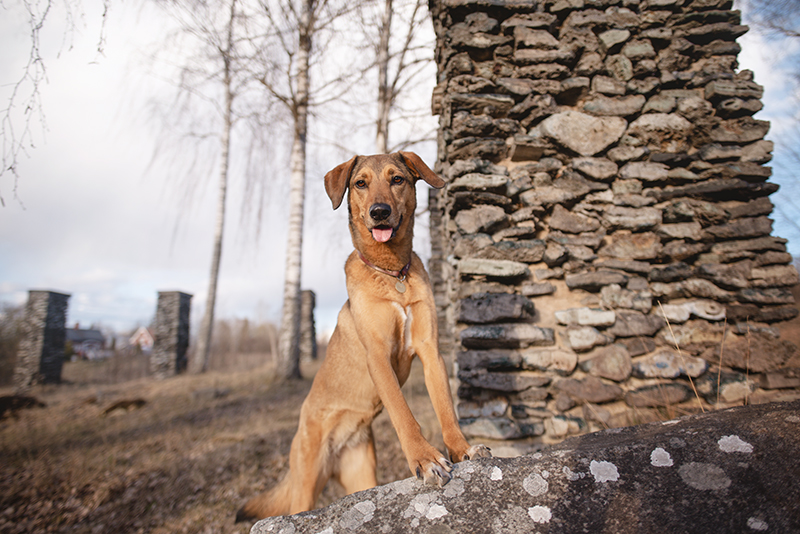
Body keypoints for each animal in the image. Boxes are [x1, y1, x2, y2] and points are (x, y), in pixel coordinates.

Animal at [234, 152, 490, 524]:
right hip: (305, 483)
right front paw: (425, 458)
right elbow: (403, 413)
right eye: (360, 183)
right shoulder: (379, 356)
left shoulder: (431, 352)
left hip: (361, 474)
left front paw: (461, 449)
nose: (379, 212)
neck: (393, 273)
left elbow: (446, 408)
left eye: (397, 179)